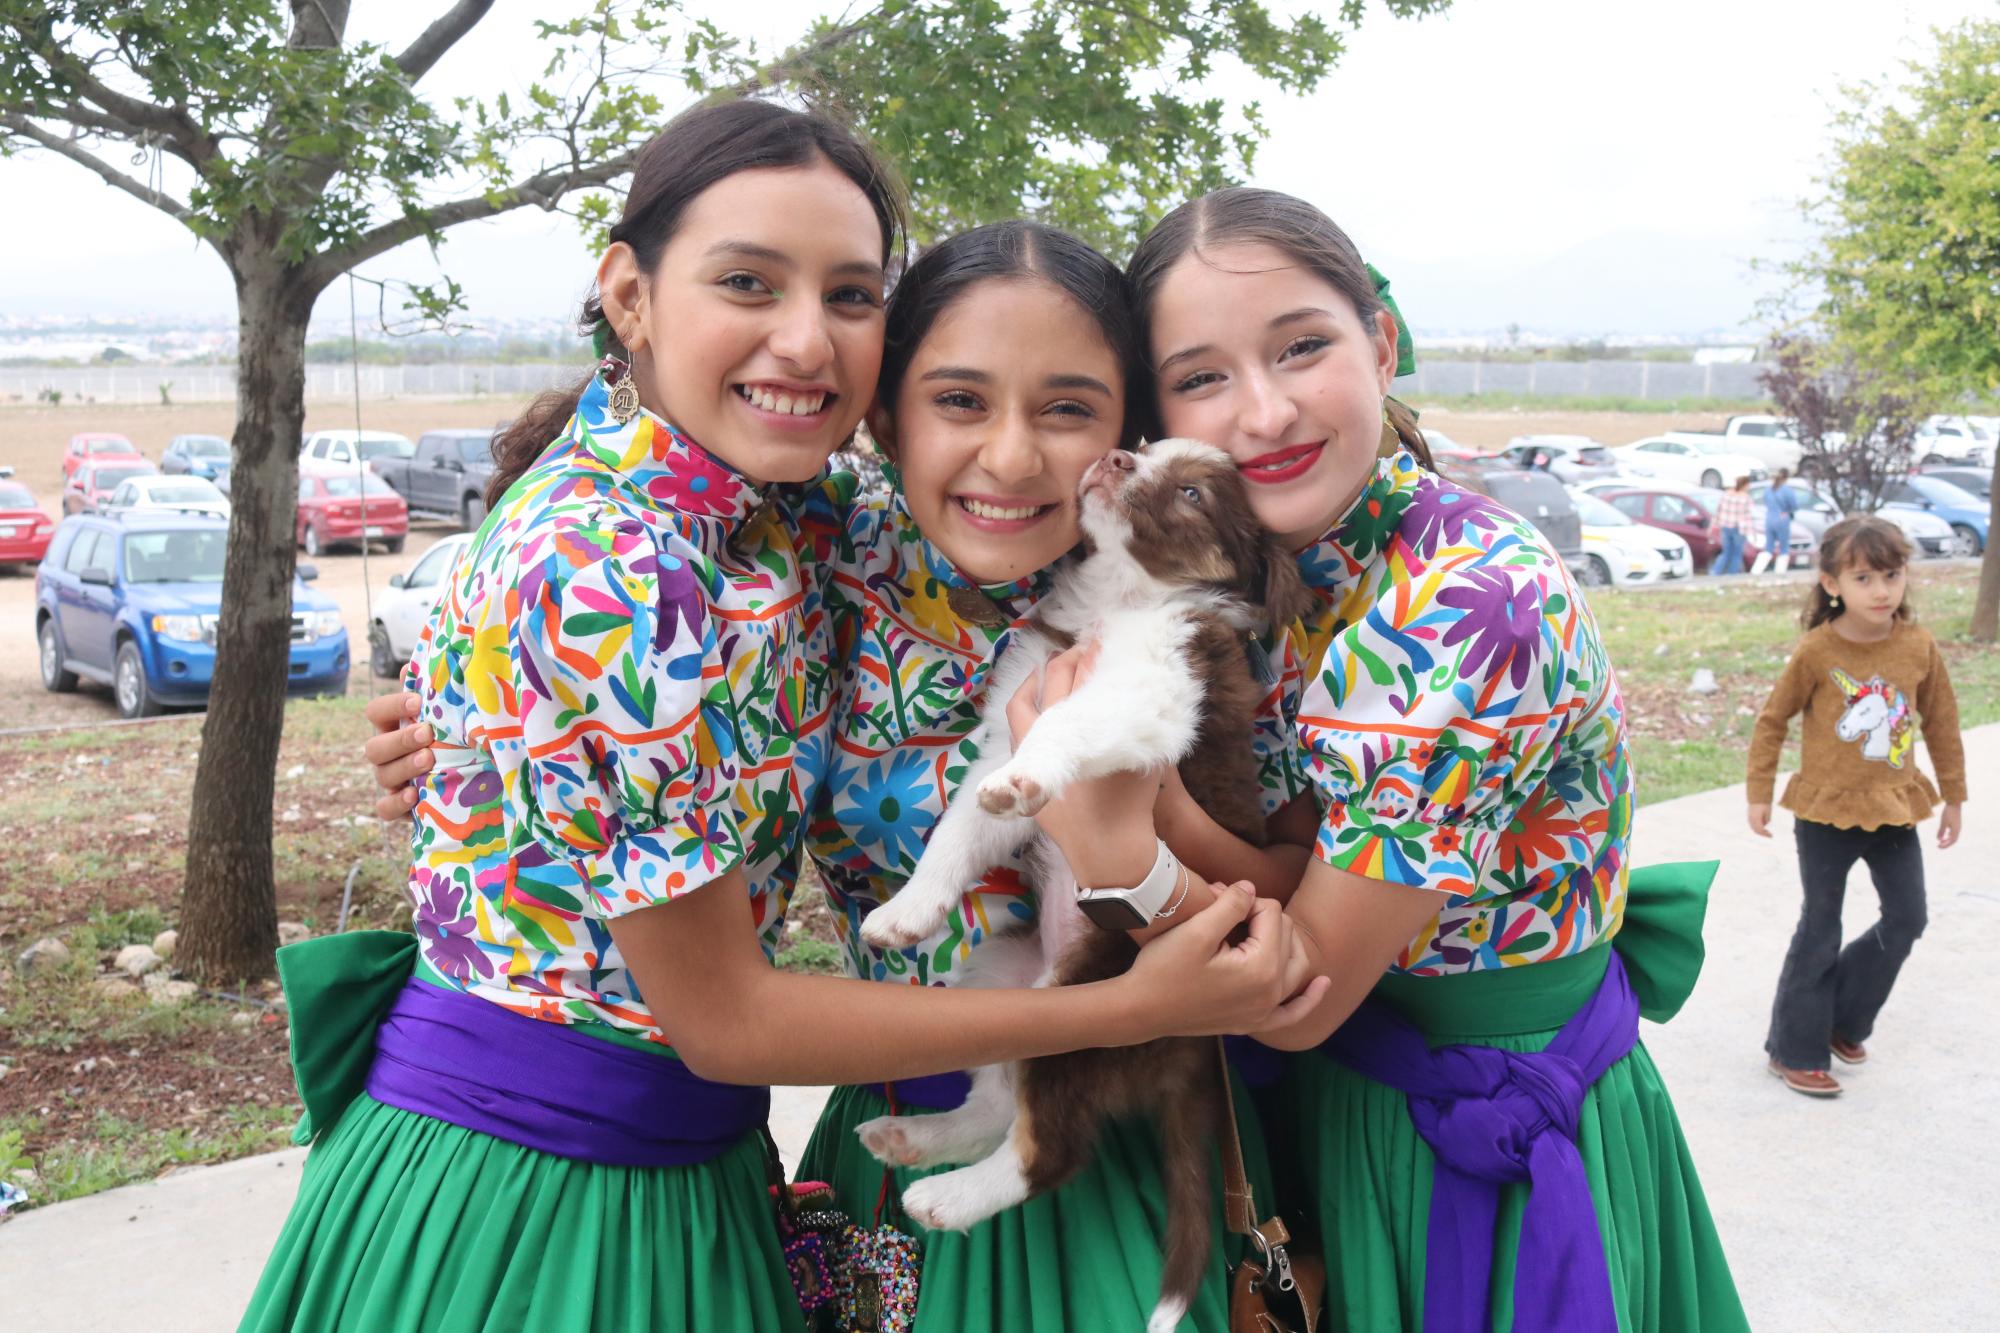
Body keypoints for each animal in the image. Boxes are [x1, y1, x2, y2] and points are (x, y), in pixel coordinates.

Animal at [856, 436, 1312, 1328]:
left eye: (1193, 491)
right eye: (1145, 444)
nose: (1114, 456)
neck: (1120, 600)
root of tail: (1196, 1047)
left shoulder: (1158, 686)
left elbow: (1068, 724)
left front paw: (1027, 779)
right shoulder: (1008, 724)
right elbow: (959, 830)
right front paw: (907, 910)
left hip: (1095, 999)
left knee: (1051, 1149)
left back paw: (947, 1198)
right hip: (1000, 978)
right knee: (1000, 1099)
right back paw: (916, 1141)